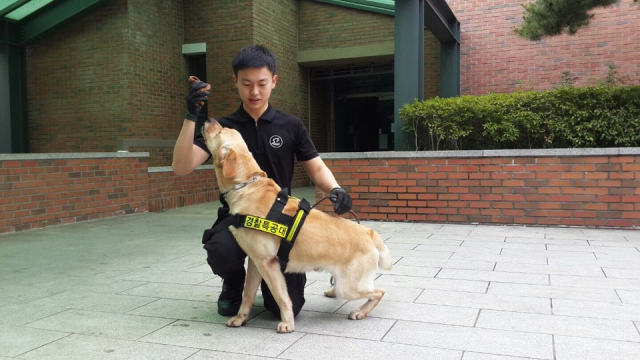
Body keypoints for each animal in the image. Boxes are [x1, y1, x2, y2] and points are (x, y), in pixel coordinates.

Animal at [202, 119, 392, 334]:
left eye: (221, 132)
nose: (209, 120)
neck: (247, 185)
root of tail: (369, 232)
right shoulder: (255, 262)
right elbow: (248, 294)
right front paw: (240, 318)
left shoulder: (269, 264)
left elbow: (281, 297)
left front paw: (288, 323)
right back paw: (333, 292)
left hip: (349, 286)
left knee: (378, 292)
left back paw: (360, 311)